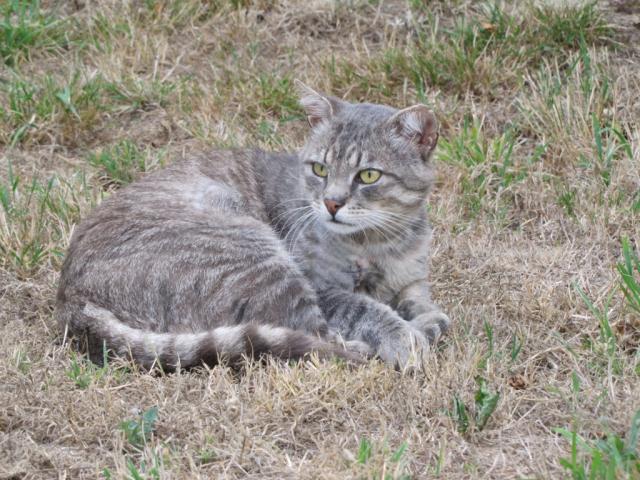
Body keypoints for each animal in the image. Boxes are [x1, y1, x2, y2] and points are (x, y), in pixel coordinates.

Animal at [56, 80, 450, 370]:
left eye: (368, 175)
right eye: (320, 169)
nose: (331, 203)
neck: (379, 242)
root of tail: (71, 295)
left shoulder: (411, 279)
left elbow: (418, 300)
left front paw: (427, 317)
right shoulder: (321, 285)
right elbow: (364, 308)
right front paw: (404, 335)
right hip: (252, 251)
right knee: (312, 335)